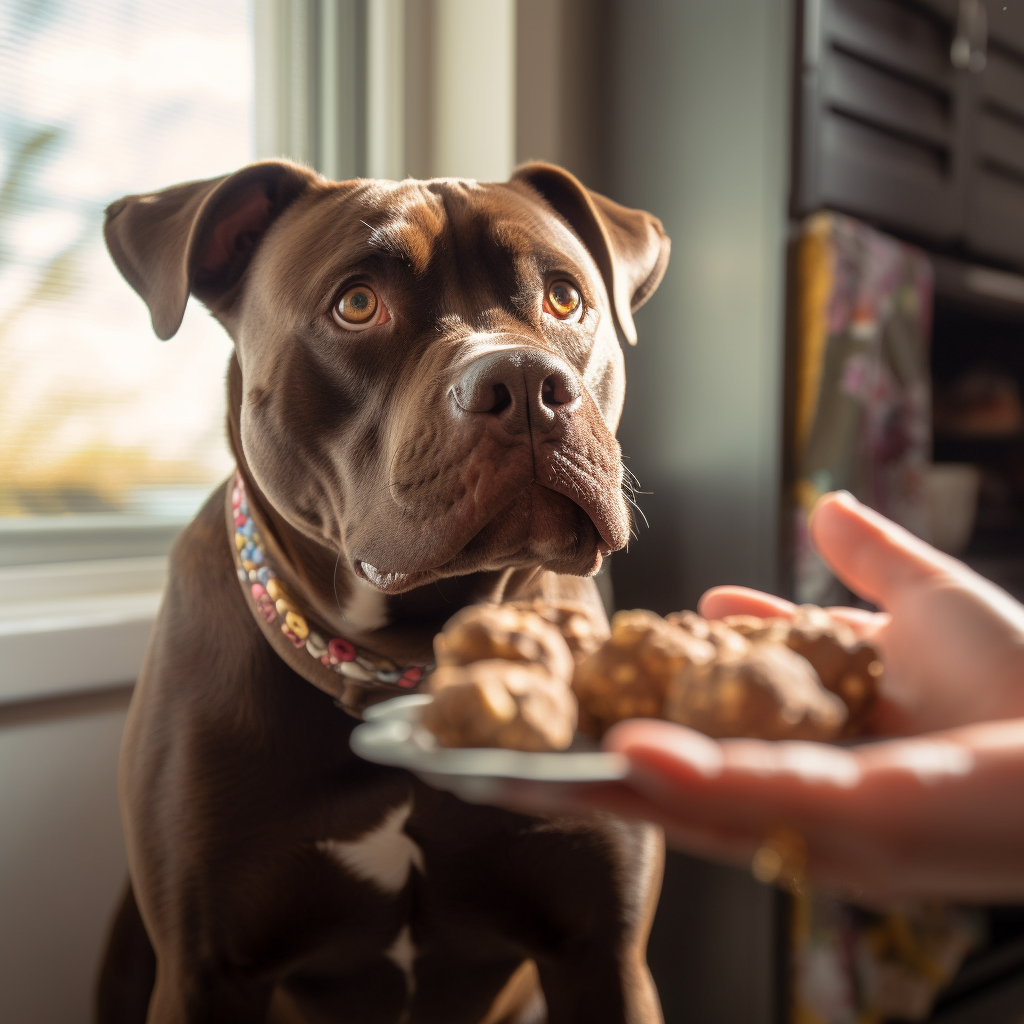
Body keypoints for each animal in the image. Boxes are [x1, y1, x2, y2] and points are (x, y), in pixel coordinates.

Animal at [94, 159, 671, 1024]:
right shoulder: (205, 971)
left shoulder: (605, 955)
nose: (525, 379)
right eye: (358, 304)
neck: (404, 657)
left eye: (564, 298)